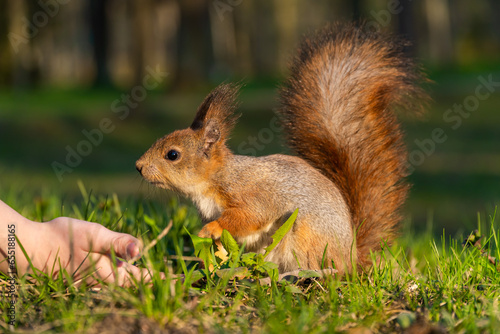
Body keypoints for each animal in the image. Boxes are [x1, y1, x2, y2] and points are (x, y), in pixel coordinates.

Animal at [137, 22, 430, 274]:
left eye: (172, 154)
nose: (139, 167)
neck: (213, 182)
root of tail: (352, 257)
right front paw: (214, 249)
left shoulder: (252, 195)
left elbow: (248, 216)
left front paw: (211, 230)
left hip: (305, 234)